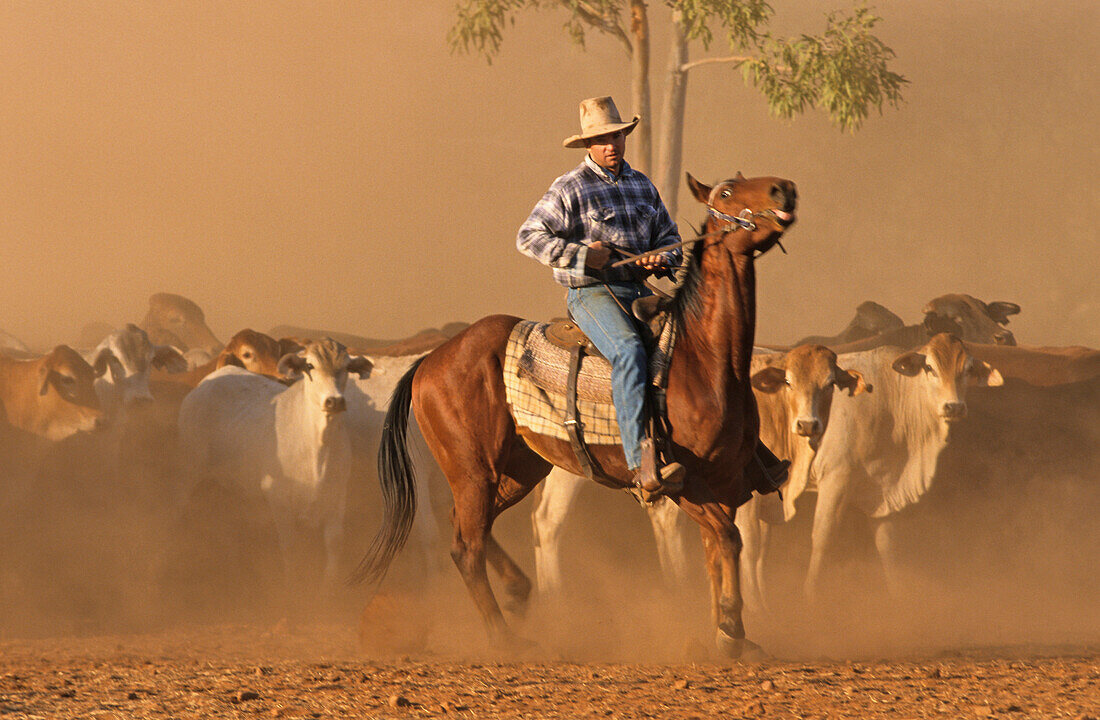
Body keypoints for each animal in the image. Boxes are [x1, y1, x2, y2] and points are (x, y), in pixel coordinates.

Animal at [176, 340, 371, 589]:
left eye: (347, 367)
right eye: (310, 365)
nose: (334, 401)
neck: (319, 445)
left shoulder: (337, 496)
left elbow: (334, 541)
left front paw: (329, 586)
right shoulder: (279, 500)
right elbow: (289, 546)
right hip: (188, 466)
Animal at [356, 171, 796, 655]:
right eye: (727, 194)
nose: (783, 188)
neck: (701, 359)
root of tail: (430, 361)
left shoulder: (726, 482)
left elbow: (717, 550)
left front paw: (728, 632)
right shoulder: (686, 483)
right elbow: (728, 540)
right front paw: (731, 629)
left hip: (520, 469)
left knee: (470, 527)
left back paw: (518, 593)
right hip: (473, 471)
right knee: (466, 548)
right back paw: (504, 638)